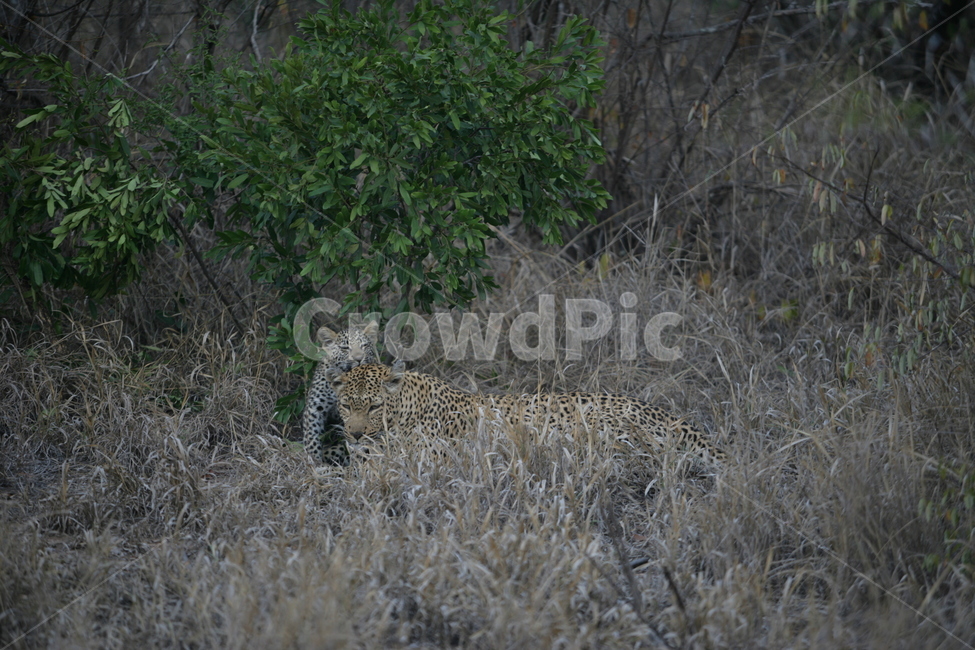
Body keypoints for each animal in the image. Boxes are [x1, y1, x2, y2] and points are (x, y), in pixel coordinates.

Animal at [302, 320, 380, 465]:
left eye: (364, 345)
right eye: (345, 348)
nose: (359, 358)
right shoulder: (315, 407)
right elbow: (312, 436)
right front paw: (314, 461)